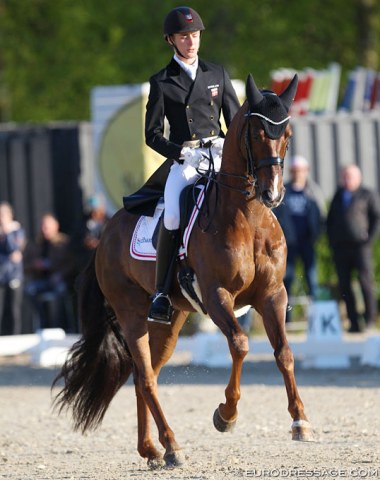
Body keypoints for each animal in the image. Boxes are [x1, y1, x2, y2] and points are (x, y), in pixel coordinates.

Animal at [54, 74, 314, 468]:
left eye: (287, 134)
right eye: (256, 134)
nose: (272, 194)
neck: (249, 218)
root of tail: (104, 236)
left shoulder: (273, 294)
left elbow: (284, 352)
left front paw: (300, 421)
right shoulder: (217, 295)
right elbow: (240, 344)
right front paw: (225, 415)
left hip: (171, 320)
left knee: (144, 375)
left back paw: (152, 449)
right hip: (131, 312)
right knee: (146, 376)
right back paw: (172, 446)